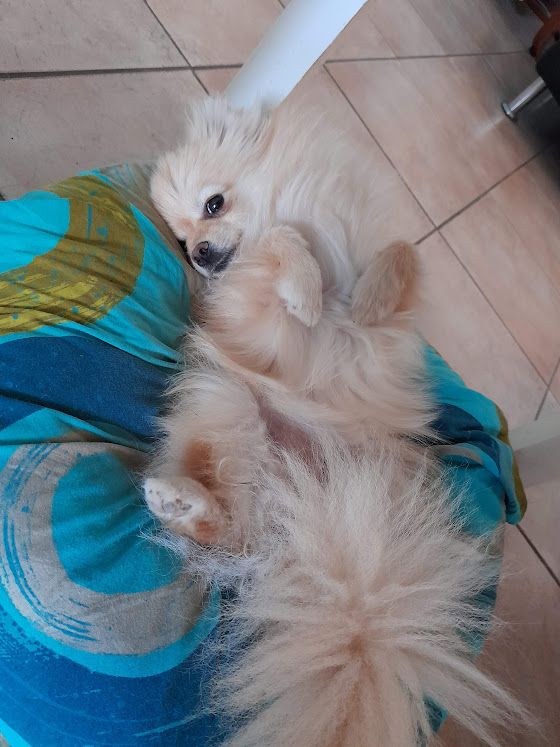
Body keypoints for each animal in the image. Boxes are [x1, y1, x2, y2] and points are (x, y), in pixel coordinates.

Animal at [144, 96, 526, 746]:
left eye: (212, 205)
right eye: (179, 237)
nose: (198, 254)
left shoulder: (392, 301)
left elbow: (402, 251)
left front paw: (368, 298)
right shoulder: (255, 307)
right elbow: (283, 240)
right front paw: (306, 291)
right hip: (232, 405)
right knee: (232, 526)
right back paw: (180, 502)